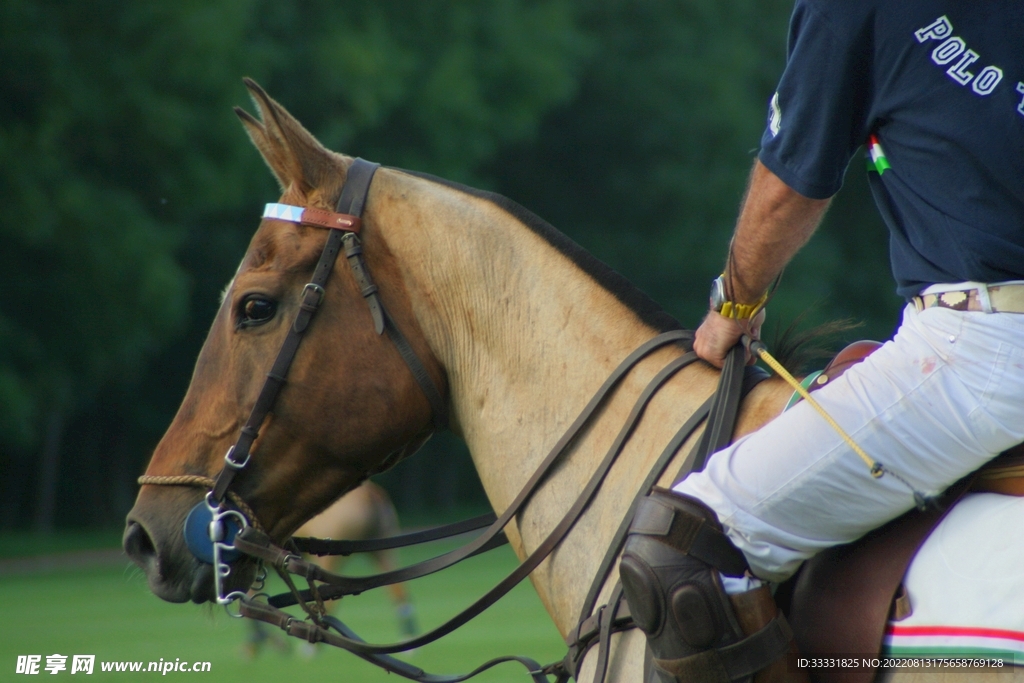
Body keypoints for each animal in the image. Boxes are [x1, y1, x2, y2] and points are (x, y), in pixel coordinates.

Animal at [242, 480, 417, 658]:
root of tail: (371, 493)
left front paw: (256, 645)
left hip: (330, 558)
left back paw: (313, 645)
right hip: (383, 550)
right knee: (399, 591)